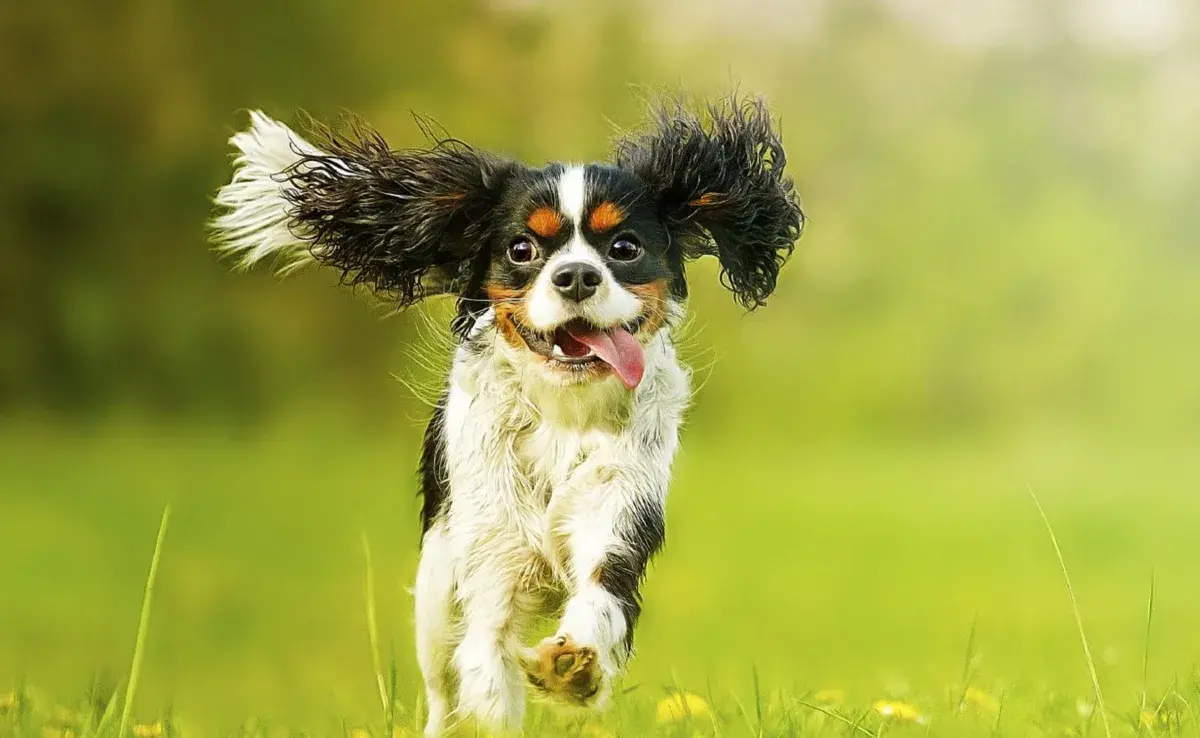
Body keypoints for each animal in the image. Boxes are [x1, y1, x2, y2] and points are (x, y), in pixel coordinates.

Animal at [211, 96, 801, 734]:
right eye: (522, 249)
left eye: (624, 248)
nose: (576, 275)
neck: (563, 409)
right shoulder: (491, 563)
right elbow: (488, 670)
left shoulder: (617, 510)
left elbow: (600, 596)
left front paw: (574, 666)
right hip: (436, 596)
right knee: (443, 692)